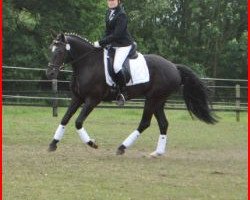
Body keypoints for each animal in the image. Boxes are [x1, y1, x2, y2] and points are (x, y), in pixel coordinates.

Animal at [47, 32, 217, 156]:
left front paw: (92, 143)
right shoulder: (77, 97)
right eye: (51, 50)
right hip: (158, 101)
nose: (50, 73)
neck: (88, 63)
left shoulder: (92, 100)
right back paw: (157, 153)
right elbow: (65, 118)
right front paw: (53, 144)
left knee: (145, 123)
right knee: (163, 124)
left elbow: (78, 122)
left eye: (60, 51)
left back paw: (122, 147)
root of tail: (174, 67)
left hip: (153, 99)